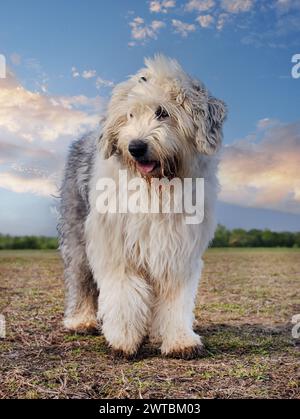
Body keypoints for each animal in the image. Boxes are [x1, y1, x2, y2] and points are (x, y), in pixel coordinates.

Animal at [58, 54, 227, 360]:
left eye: (162, 112)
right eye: (130, 115)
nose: (136, 147)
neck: (156, 187)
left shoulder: (178, 248)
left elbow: (175, 297)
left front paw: (179, 340)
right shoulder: (116, 245)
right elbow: (124, 292)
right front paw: (124, 339)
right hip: (77, 233)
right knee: (81, 278)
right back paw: (82, 320)